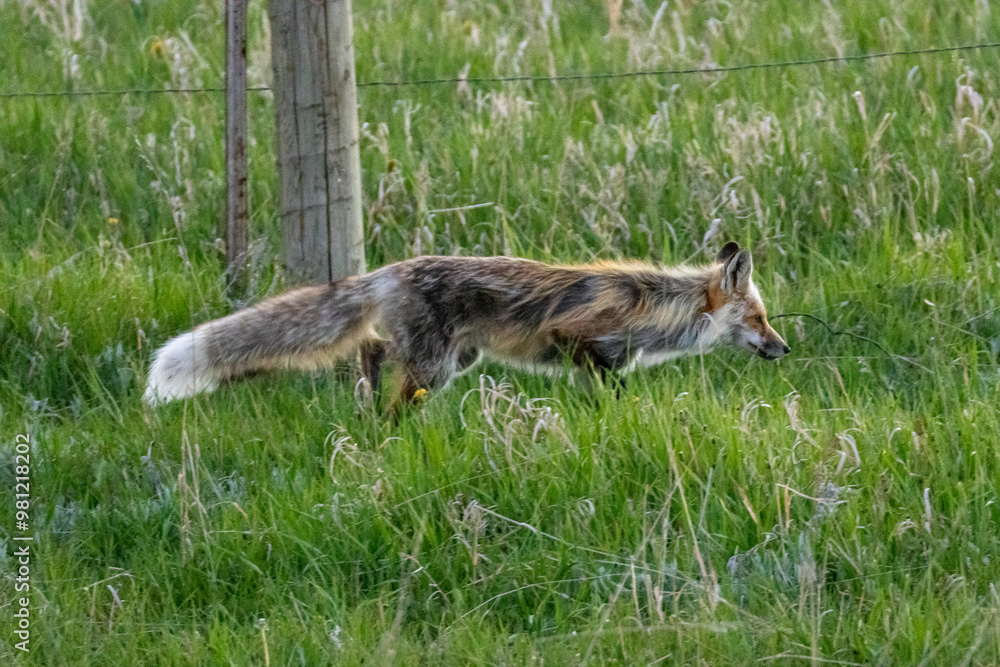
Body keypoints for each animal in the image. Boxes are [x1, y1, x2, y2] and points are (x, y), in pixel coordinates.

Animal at [143, 242, 789, 409]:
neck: (655, 308)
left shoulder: (600, 360)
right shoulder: (577, 338)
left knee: (373, 350)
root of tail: (386, 271)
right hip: (434, 364)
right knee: (391, 391)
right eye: (759, 318)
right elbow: (610, 391)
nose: (784, 348)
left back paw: (363, 389)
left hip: (454, 359)